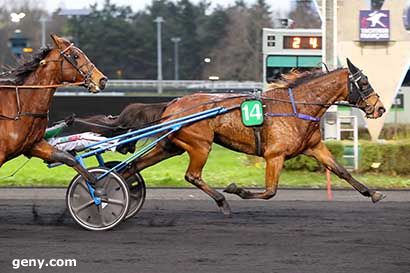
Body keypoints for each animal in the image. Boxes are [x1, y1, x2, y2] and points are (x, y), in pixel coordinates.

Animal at [0, 34, 107, 193]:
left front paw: (96, 185)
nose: (102, 79)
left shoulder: (34, 145)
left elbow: (67, 158)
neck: (20, 106)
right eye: (76, 55)